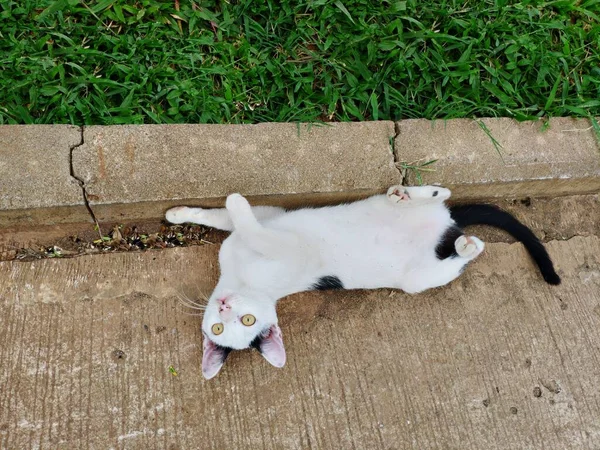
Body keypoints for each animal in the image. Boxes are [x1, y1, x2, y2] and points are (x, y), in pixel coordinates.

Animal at [166, 185, 560, 378]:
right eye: (219, 329)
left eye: (247, 321)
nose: (224, 307)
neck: (241, 279)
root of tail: (447, 227)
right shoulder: (276, 232)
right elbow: (232, 221)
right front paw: (189, 212)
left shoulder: (273, 225)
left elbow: (232, 218)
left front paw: (188, 211)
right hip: (419, 278)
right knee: (456, 258)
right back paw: (467, 243)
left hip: (388, 221)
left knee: (441, 201)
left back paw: (419, 194)